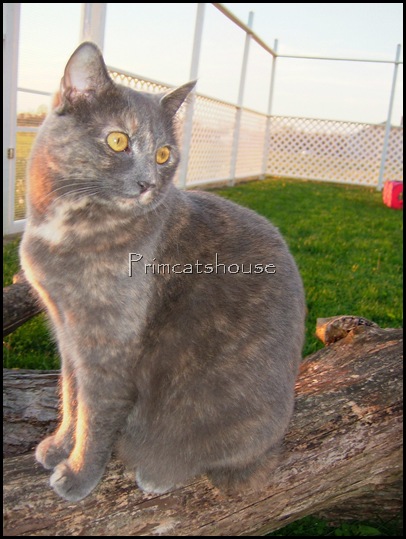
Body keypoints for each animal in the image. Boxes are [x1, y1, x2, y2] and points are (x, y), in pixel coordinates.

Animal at [19, 42, 304, 502]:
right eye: (118, 140)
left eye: (164, 154)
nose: (148, 182)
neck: (66, 228)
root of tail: (274, 446)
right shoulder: (67, 331)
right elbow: (70, 391)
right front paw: (60, 445)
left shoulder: (108, 341)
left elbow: (95, 410)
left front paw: (79, 473)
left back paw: (157, 473)